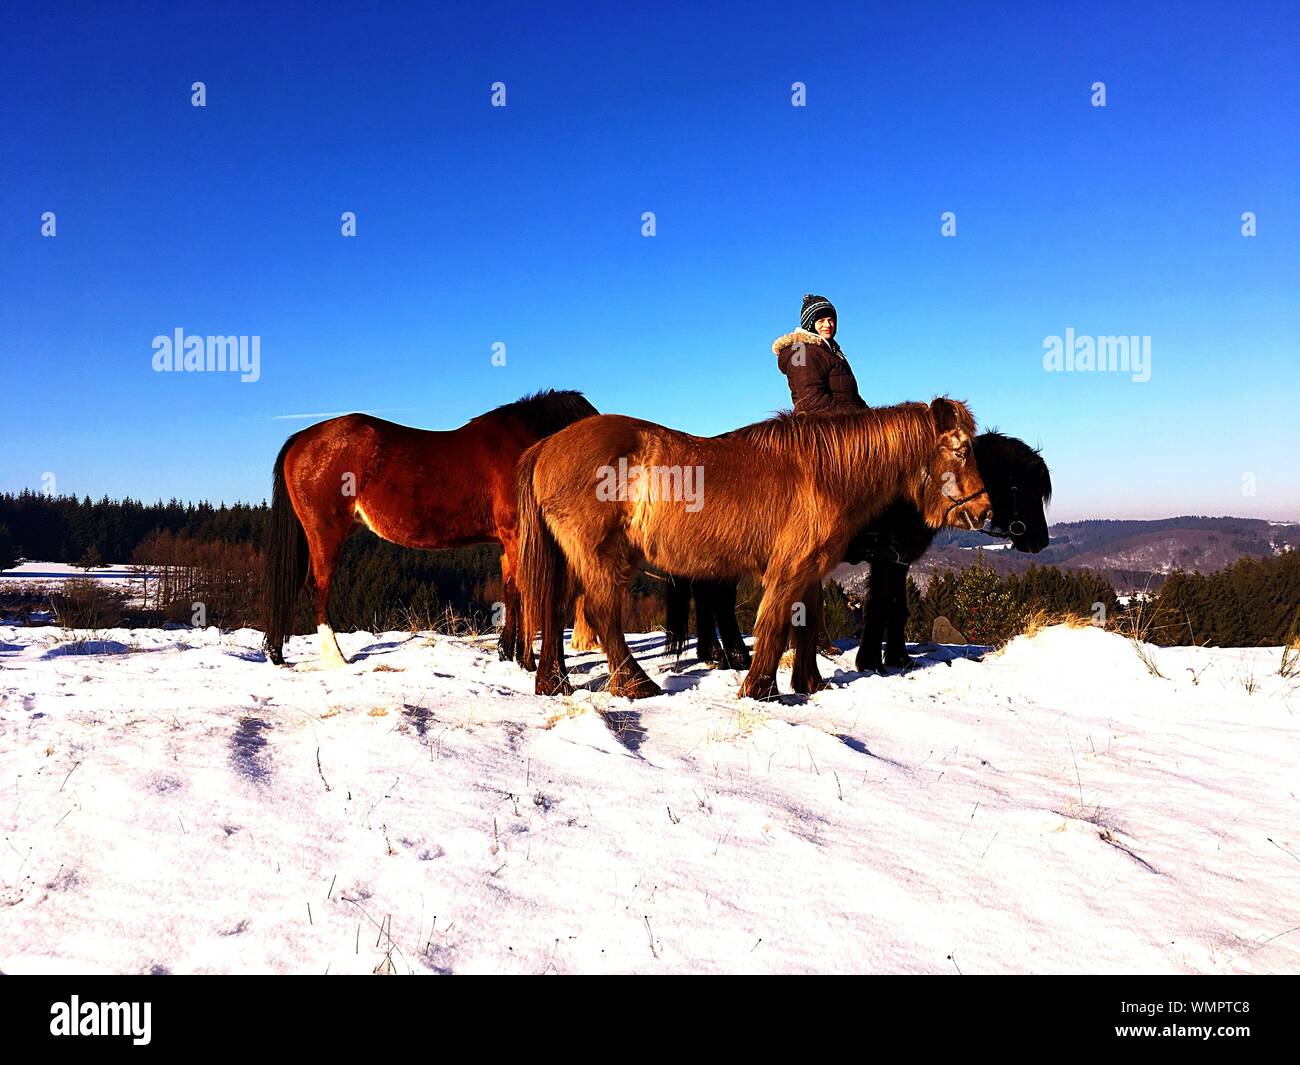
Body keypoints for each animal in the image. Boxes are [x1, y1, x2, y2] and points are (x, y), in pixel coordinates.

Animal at [262, 389, 599, 667]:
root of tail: (302, 439)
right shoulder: (516, 537)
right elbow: (521, 593)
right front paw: (524, 661)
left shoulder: (507, 543)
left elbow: (510, 591)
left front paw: (508, 654)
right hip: (326, 531)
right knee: (318, 587)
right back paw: (335, 657)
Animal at [516, 398, 992, 701]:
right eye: (961, 449)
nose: (984, 510)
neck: (825, 474)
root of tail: (545, 446)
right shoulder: (790, 568)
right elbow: (776, 624)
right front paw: (759, 688)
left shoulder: (811, 570)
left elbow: (807, 624)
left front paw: (810, 684)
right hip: (601, 556)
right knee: (601, 615)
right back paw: (636, 684)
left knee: (553, 609)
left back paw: (554, 683)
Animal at [665, 431, 1052, 672]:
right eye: (1018, 485)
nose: (1041, 542)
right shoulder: (885, 559)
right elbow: (879, 606)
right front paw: (871, 661)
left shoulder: (899, 561)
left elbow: (898, 608)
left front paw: (897, 657)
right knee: (718, 599)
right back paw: (734, 654)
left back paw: (716, 653)